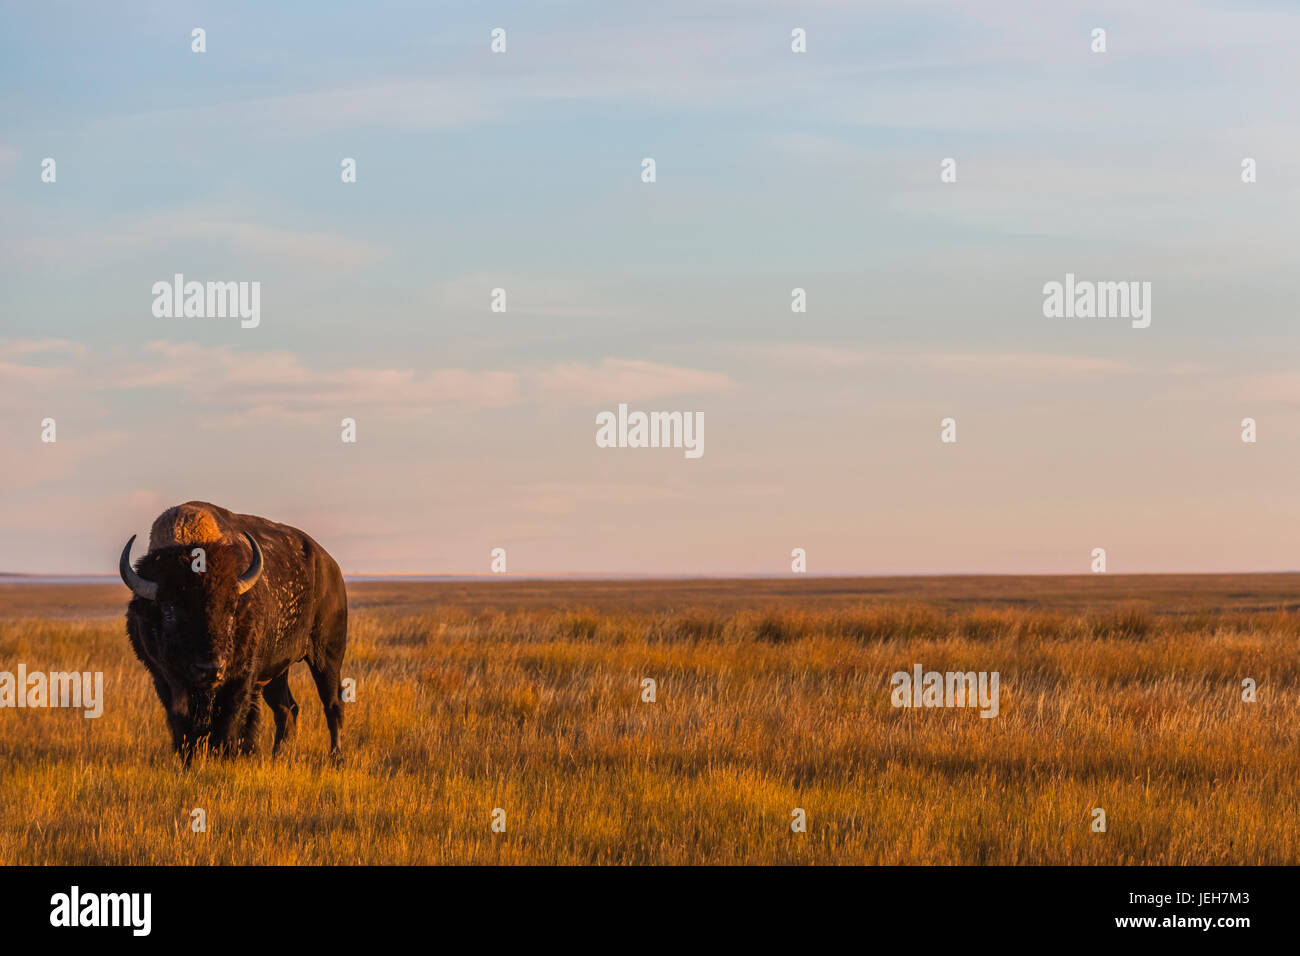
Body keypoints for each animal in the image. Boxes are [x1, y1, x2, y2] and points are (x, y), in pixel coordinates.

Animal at [117, 502, 348, 764]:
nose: (210, 669)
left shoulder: (241, 678)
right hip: (277, 671)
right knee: (287, 708)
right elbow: (183, 726)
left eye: (231, 610)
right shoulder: (164, 678)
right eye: (168, 611)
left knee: (332, 704)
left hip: (327, 656)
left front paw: (228, 757)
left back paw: (337, 758)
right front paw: (189, 760)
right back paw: (278, 755)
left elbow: (231, 721)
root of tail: (330, 566)